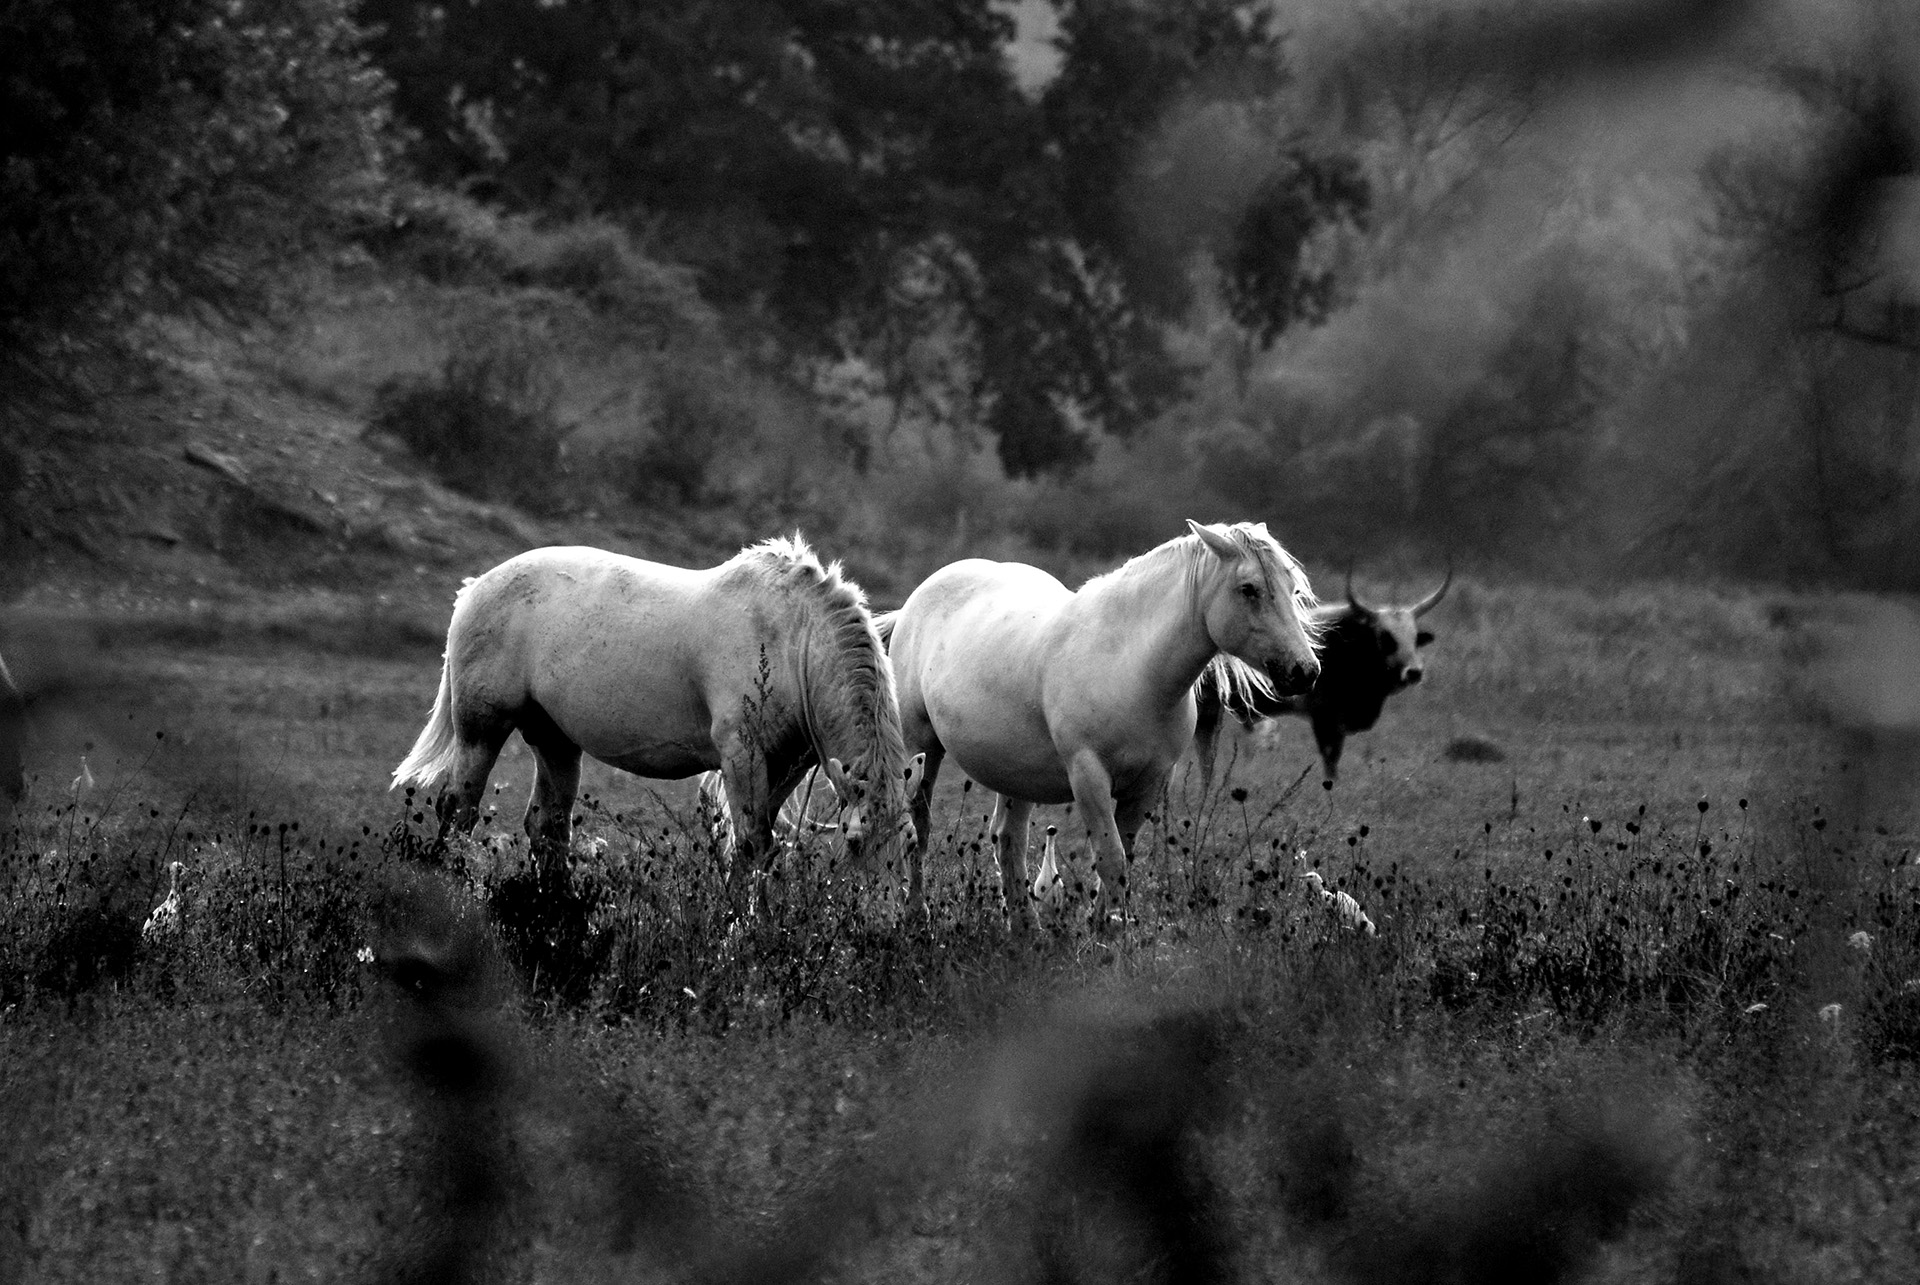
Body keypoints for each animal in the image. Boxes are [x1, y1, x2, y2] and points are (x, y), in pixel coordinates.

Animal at [389, 537, 921, 906]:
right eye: (854, 842)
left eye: (910, 841)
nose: (879, 923)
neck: (792, 640)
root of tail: (475, 588)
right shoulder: (742, 756)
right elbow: (750, 846)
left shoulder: (784, 766)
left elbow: (764, 849)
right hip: (481, 731)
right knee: (458, 809)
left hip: (556, 741)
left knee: (547, 826)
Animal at [879, 522, 1320, 933]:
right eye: (1249, 589)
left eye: (1293, 588)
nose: (1305, 671)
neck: (1131, 666)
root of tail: (922, 596)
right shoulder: (1088, 775)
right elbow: (1111, 859)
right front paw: (1110, 938)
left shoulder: (1150, 783)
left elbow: (1122, 857)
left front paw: (1105, 925)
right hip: (921, 748)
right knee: (918, 829)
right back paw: (917, 914)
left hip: (1015, 774)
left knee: (1008, 840)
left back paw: (1026, 929)